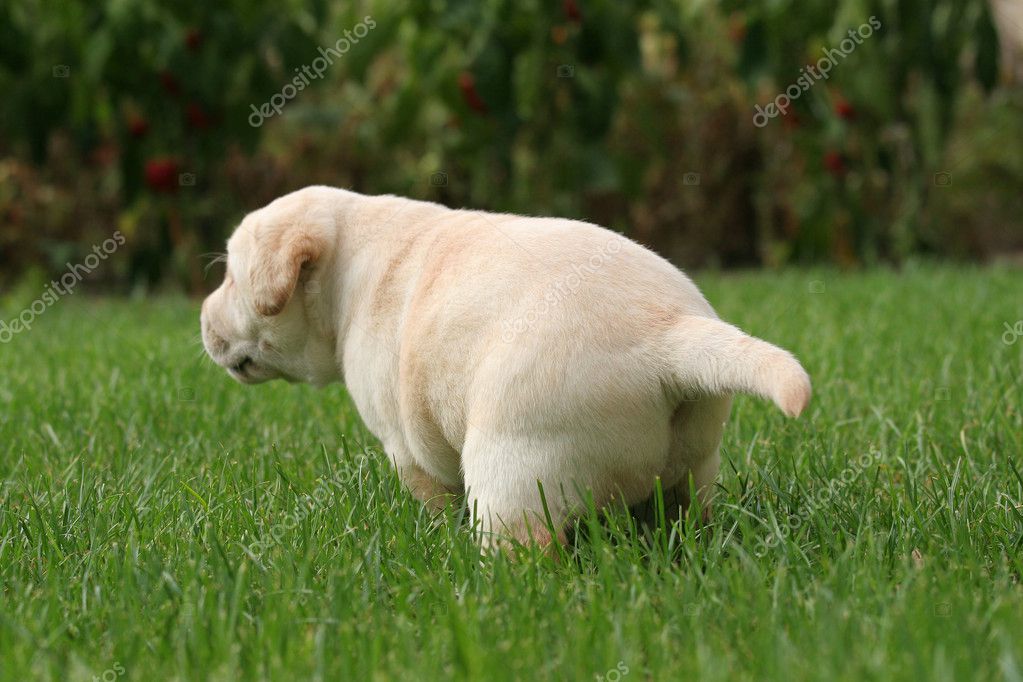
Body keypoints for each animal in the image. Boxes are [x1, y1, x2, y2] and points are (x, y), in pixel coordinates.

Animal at [197, 187, 806, 548]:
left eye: (230, 278)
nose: (200, 317)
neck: (350, 264)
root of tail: (666, 332)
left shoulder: (404, 444)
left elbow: (431, 494)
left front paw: (436, 537)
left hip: (513, 471)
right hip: (696, 463)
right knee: (689, 508)